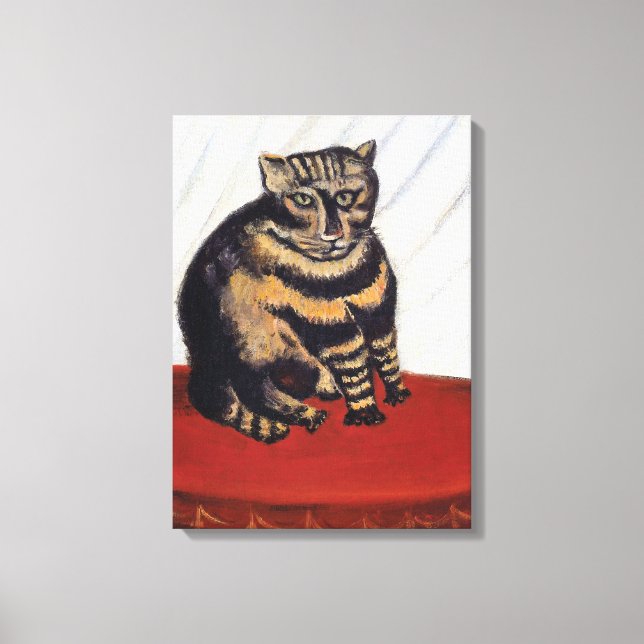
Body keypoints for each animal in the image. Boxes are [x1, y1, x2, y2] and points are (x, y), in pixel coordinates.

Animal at [177, 140, 410, 444]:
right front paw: (365, 410)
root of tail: (200, 353)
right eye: (303, 200)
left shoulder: (378, 311)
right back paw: (298, 415)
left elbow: (386, 354)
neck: (342, 271)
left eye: (345, 197)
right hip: (253, 337)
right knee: (250, 389)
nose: (332, 234)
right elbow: (355, 370)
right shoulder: (333, 327)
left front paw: (396, 391)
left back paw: (323, 386)